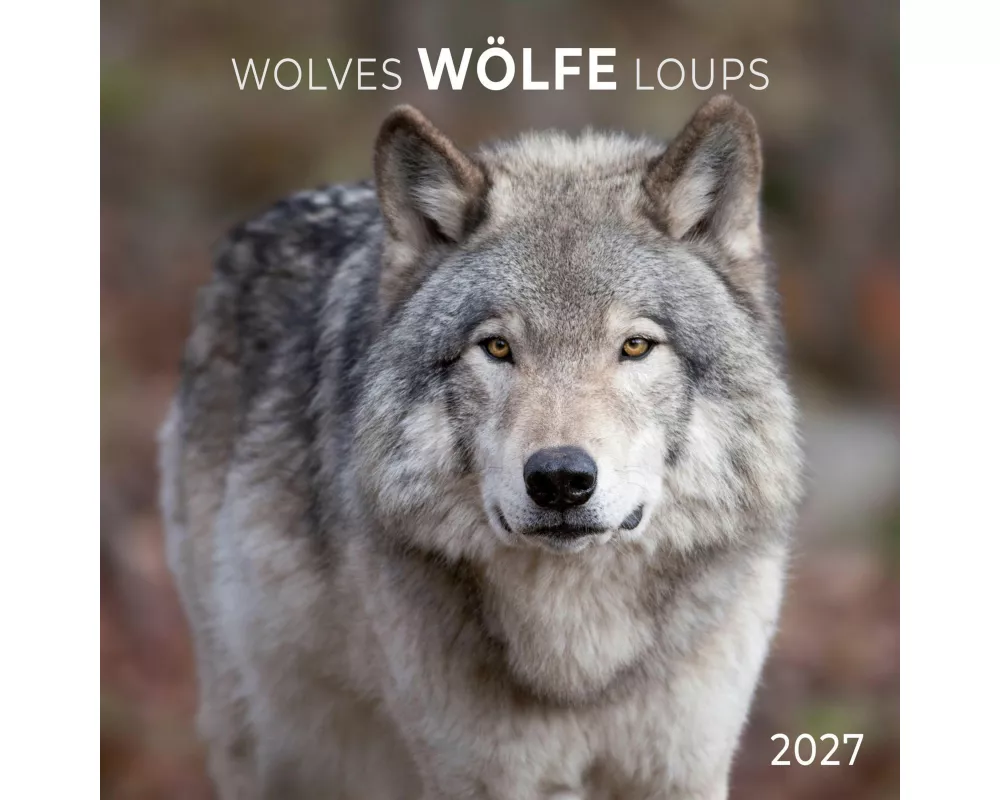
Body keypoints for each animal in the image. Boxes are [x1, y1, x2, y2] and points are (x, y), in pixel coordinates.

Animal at [159, 93, 803, 800]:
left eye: (635, 346)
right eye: (497, 347)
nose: (559, 479)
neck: (576, 661)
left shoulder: (682, 769)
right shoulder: (476, 776)